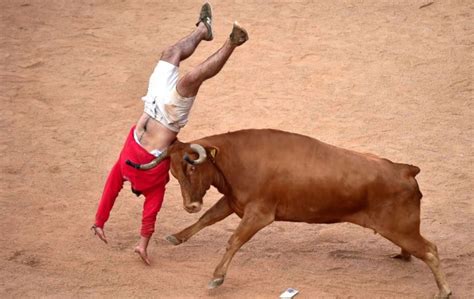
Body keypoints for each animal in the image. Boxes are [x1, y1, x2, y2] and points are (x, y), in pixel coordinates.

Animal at [133, 128, 452, 298]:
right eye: (173, 173)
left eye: (191, 168)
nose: (190, 205)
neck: (235, 159)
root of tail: (405, 169)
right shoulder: (234, 202)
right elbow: (207, 219)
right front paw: (177, 236)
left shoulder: (258, 214)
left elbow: (233, 241)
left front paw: (217, 278)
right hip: (401, 229)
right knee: (420, 248)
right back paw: (403, 256)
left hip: (399, 227)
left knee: (431, 250)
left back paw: (444, 290)